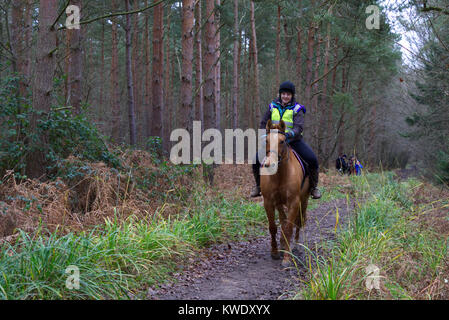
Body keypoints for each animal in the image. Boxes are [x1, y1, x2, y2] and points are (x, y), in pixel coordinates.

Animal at [260, 119, 308, 266]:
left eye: (282, 141)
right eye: (266, 140)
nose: (270, 164)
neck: (280, 175)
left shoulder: (294, 202)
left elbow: (288, 228)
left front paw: (287, 258)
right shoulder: (269, 202)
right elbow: (273, 227)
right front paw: (275, 252)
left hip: (304, 200)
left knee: (298, 221)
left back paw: (296, 245)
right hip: (279, 203)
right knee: (283, 219)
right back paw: (282, 244)